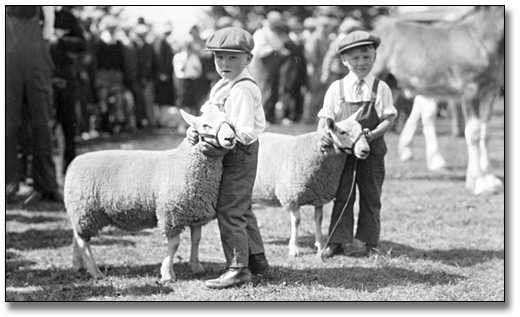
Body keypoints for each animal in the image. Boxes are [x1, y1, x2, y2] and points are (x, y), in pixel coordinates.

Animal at [63, 107, 238, 280]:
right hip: (86, 211)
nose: (230, 138)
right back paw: (95, 272)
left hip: (79, 212)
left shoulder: (196, 213)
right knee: (83, 241)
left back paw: (77, 264)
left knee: (76, 236)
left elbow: (196, 239)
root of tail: (74, 162)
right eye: (205, 125)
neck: (181, 163)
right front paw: (167, 273)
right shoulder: (170, 214)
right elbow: (174, 244)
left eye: (231, 123)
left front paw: (196, 266)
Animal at [252, 116, 370, 256]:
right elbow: (296, 221)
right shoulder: (292, 197)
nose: (365, 150)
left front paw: (320, 245)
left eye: (363, 131)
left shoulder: (319, 196)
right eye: (343, 132)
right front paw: (294, 248)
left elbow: (319, 219)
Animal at [374, 6, 504, 195]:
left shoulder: (490, 91)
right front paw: (478, 182)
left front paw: (490, 180)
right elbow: (473, 132)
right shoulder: (470, 90)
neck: (482, 38)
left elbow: (485, 133)